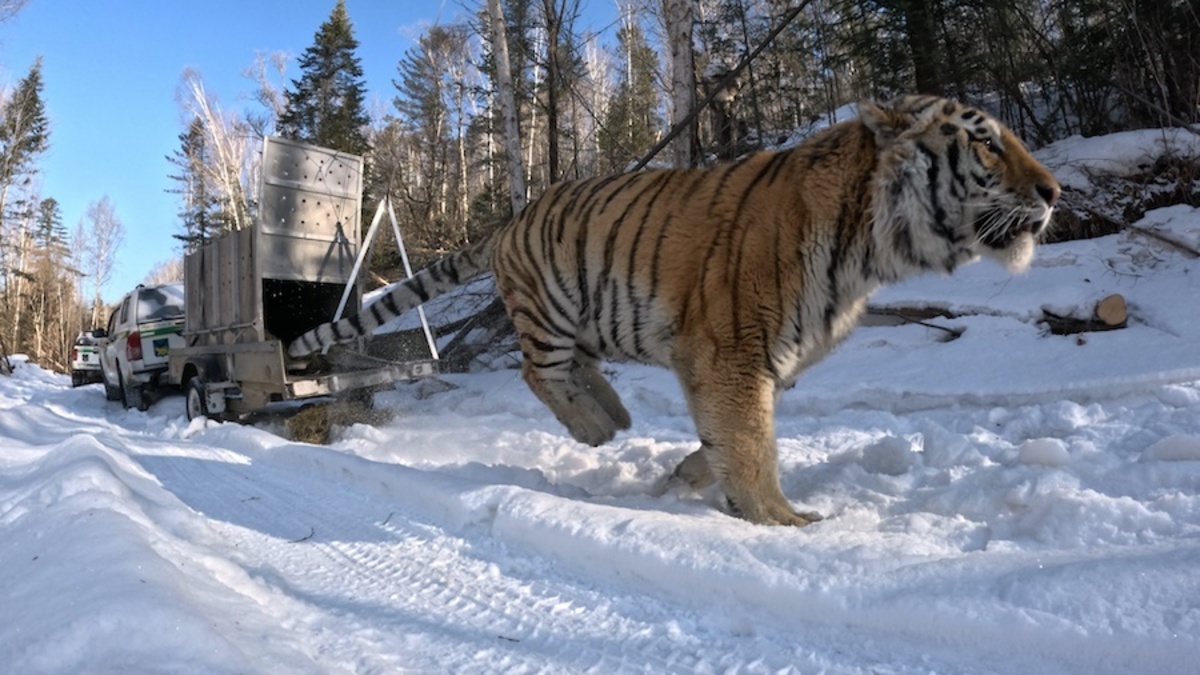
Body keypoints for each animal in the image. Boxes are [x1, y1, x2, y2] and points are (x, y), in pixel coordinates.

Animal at [290, 94, 1060, 526]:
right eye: (986, 141)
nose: (1054, 191)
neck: (872, 249)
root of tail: (508, 222)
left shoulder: (771, 359)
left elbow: (729, 438)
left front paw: (687, 479)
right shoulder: (733, 352)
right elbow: (752, 442)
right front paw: (783, 519)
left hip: (592, 317)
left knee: (577, 370)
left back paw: (615, 417)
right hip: (548, 311)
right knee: (538, 373)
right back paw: (597, 429)